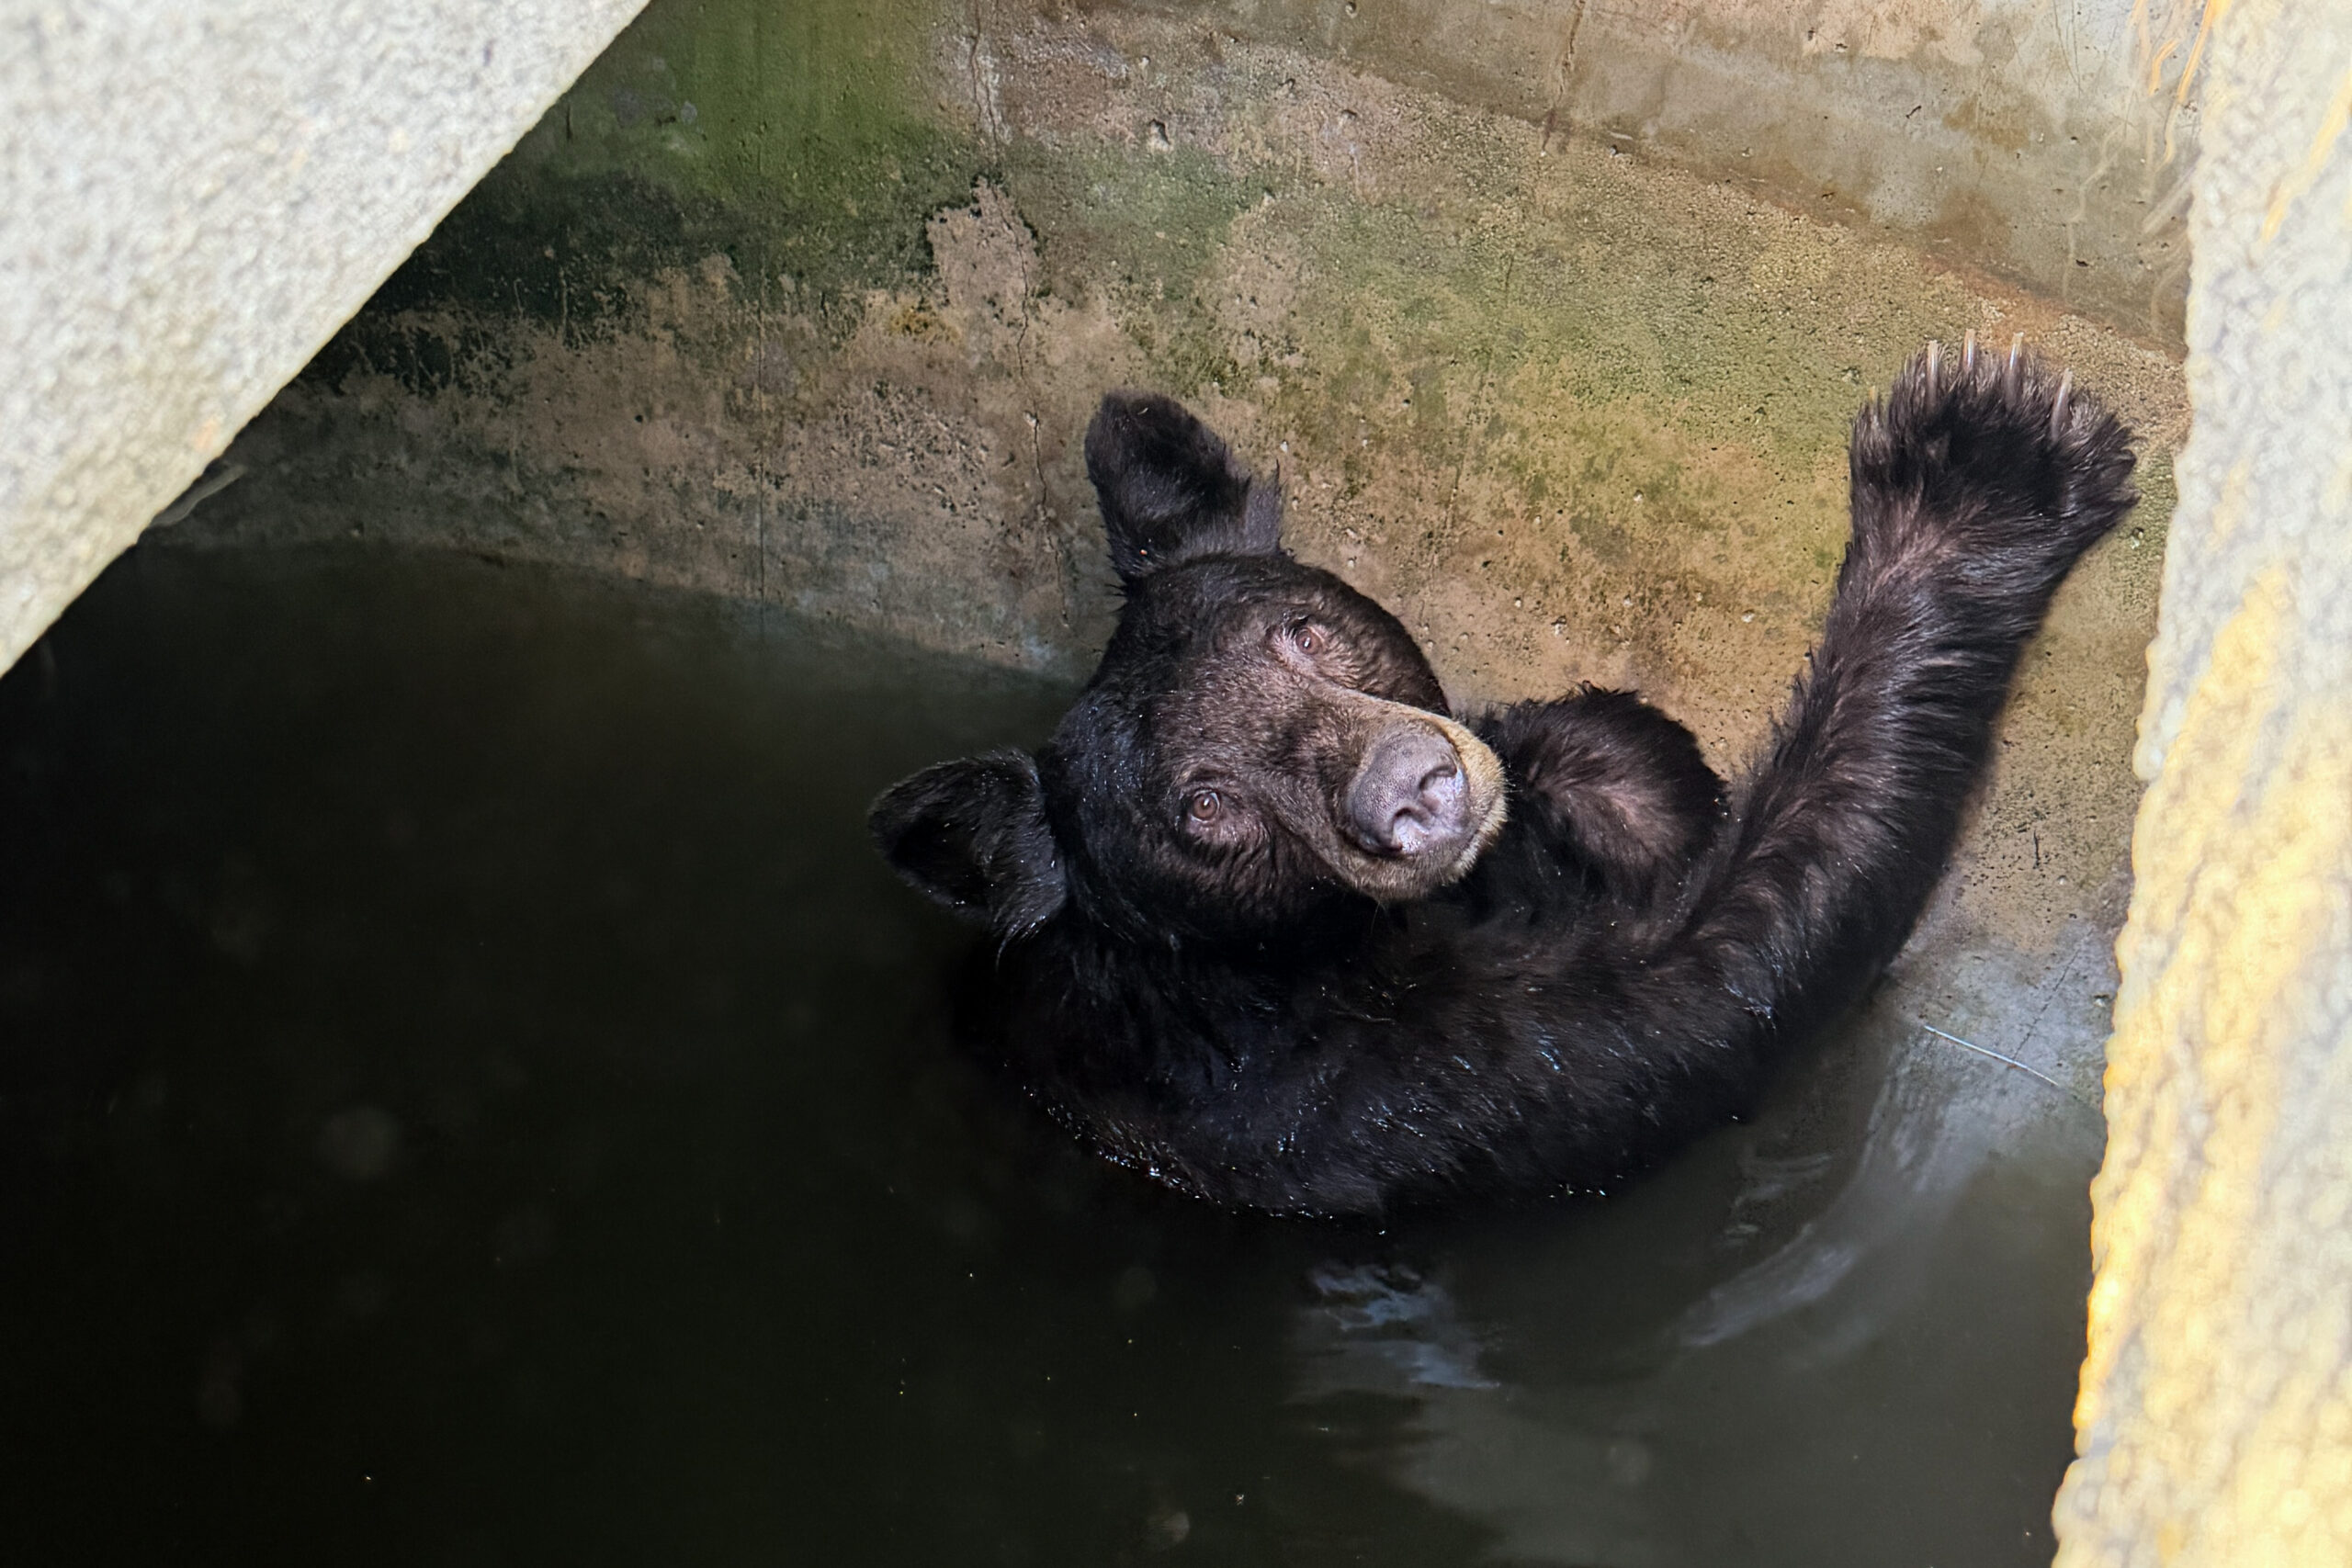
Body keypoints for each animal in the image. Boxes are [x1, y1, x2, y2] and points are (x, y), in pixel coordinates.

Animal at [870, 336, 2138, 1216]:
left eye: (1301, 632)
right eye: (1204, 803)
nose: (1411, 787)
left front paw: (1615, 779)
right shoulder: (1378, 1084)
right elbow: (1726, 974)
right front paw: (1975, 462)